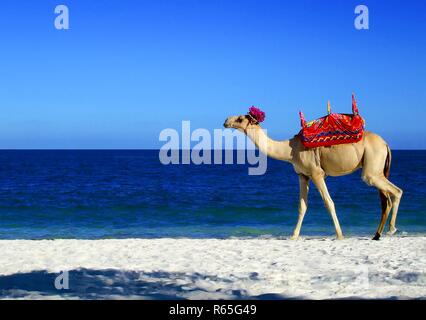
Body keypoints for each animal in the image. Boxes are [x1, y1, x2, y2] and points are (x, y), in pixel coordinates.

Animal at [223, 112, 402, 240]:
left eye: (240, 118)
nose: (226, 121)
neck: (290, 150)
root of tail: (386, 144)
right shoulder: (302, 175)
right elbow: (302, 206)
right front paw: (293, 236)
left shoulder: (317, 173)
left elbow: (329, 202)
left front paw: (340, 235)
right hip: (377, 170)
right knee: (385, 200)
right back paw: (377, 235)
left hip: (371, 169)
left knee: (396, 191)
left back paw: (391, 229)